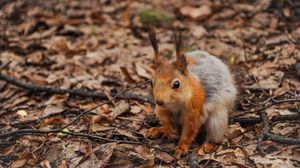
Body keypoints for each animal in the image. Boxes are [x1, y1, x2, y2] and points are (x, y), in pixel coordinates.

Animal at [146, 27, 238, 159]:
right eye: (151, 83)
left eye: (176, 84)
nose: (159, 101)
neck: (175, 103)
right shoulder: (161, 108)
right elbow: (164, 117)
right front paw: (169, 130)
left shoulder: (194, 109)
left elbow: (190, 129)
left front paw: (181, 147)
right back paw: (160, 130)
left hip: (217, 118)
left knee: (216, 136)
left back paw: (208, 145)